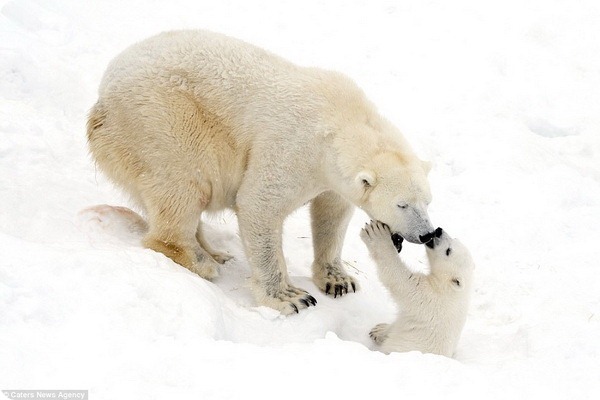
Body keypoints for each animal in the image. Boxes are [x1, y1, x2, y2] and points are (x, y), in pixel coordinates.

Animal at [88, 29, 436, 314]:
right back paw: (202, 262)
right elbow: (259, 204)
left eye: (428, 201)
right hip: (163, 120)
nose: (426, 233)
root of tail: (101, 102)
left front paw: (338, 280)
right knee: (183, 186)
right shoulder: (293, 149)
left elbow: (332, 214)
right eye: (401, 204)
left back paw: (215, 253)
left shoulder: (331, 178)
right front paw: (291, 298)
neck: (342, 118)